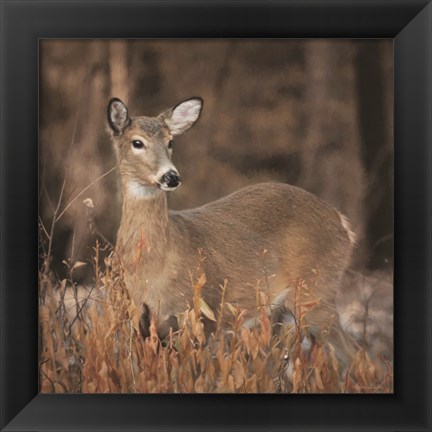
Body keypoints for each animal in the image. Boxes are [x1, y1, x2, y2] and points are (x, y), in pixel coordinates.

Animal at [106, 97, 360, 364]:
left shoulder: (199, 313)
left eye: (170, 141)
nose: (171, 176)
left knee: (357, 353)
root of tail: (342, 222)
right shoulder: (141, 323)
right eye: (137, 142)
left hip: (317, 291)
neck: (154, 265)